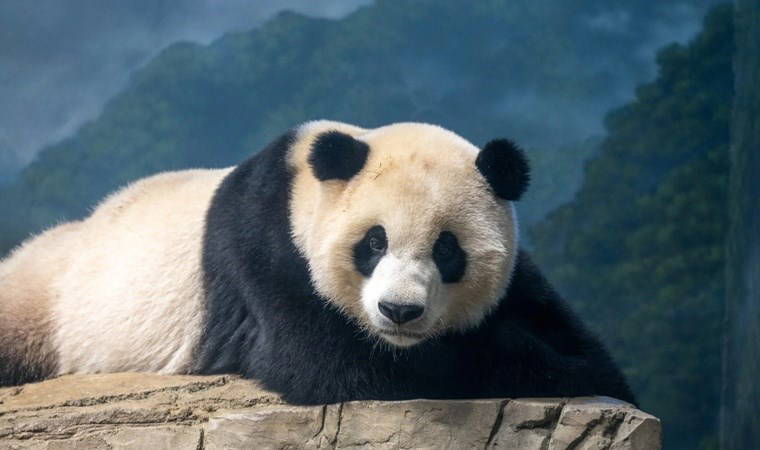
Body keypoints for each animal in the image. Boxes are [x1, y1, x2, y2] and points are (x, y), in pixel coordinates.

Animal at [0, 121, 635, 405]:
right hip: (46, 301)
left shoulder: (521, 278)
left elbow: (586, 349)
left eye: (447, 249)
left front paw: (584, 368)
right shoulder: (265, 253)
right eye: (374, 243)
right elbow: (332, 364)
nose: (399, 312)